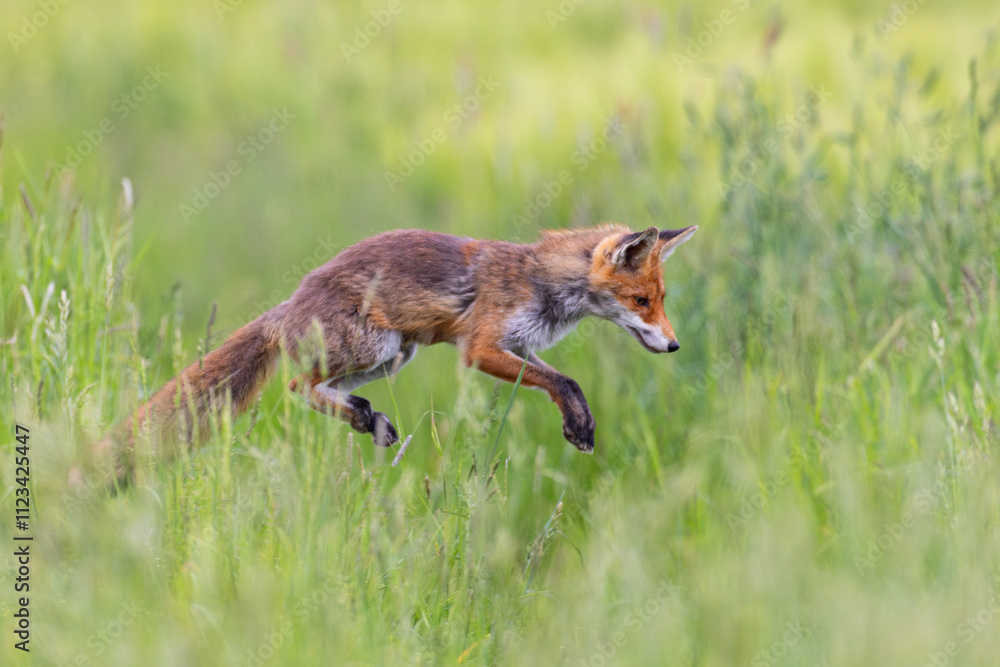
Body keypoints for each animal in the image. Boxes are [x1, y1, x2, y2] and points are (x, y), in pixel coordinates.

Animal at [81, 224, 697, 486]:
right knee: (297, 386)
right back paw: (362, 417)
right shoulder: (481, 347)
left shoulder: (519, 346)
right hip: (377, 346)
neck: (541, 284)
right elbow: (564, 381)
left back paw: (366, 419)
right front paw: (579, 425)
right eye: (642, 301)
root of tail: (291, 300)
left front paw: (580, 422)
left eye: (662, 299)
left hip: (395, 355)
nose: (674, 345)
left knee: (319, 390)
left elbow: (566, 383)